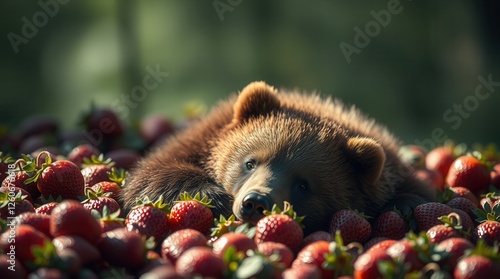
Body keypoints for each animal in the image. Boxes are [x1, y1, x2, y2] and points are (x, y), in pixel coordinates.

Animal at [120, 82, 434, 235]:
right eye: (250, 162)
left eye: (304, 185)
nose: (255, 202)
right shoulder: (198, 139)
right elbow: (150, 176)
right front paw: (213, 195)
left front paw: (403, 207)